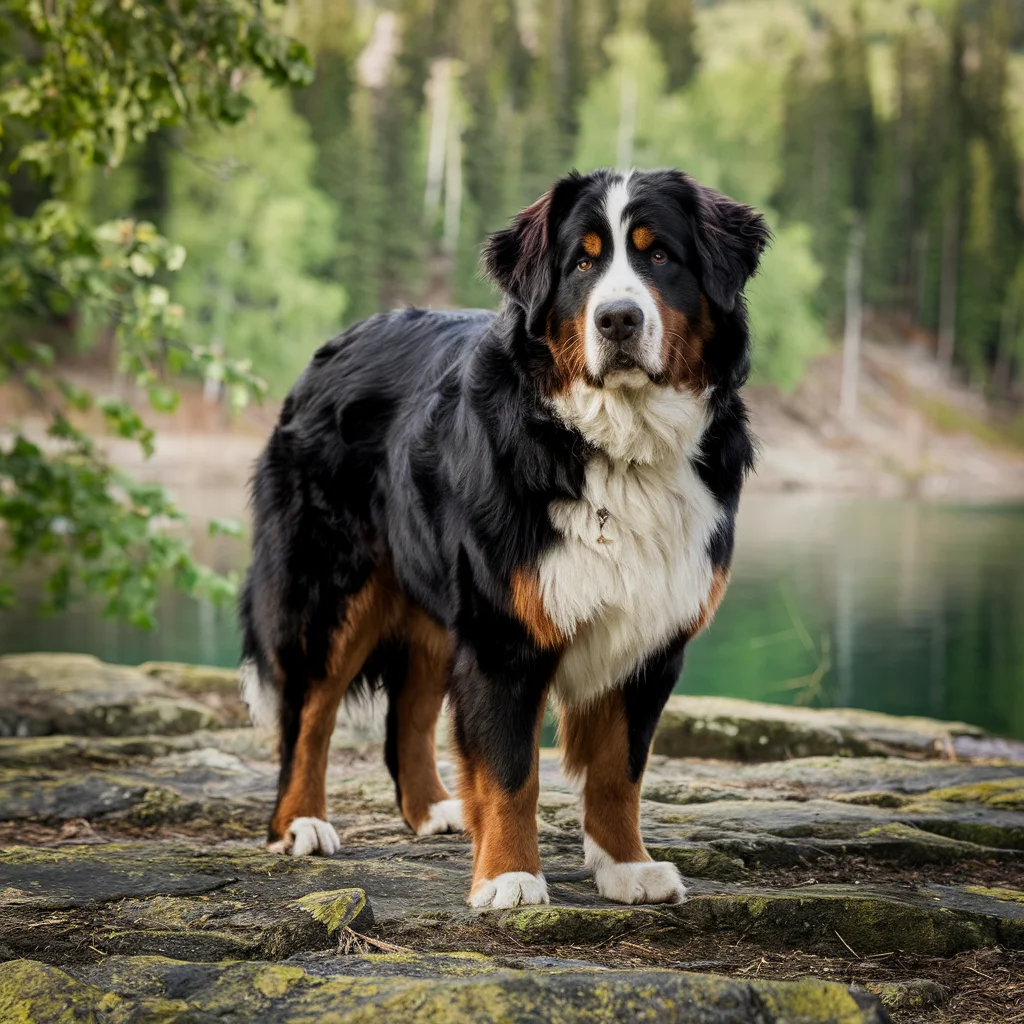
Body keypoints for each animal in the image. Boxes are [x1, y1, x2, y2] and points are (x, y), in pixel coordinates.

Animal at [239, 169, 770, 913]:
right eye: (582, 263)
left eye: (660, 255)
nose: (618, 320)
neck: (616, 446)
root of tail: (340, 341)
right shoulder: (504, 633)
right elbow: (512, 769)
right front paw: (510, 878)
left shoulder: (650, 637)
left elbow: (619, 770)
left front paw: (626, 867)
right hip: (329, 589)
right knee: (308, 713)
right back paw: (300, 824)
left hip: (432, 602)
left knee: (410, 712)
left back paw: (435, 810)